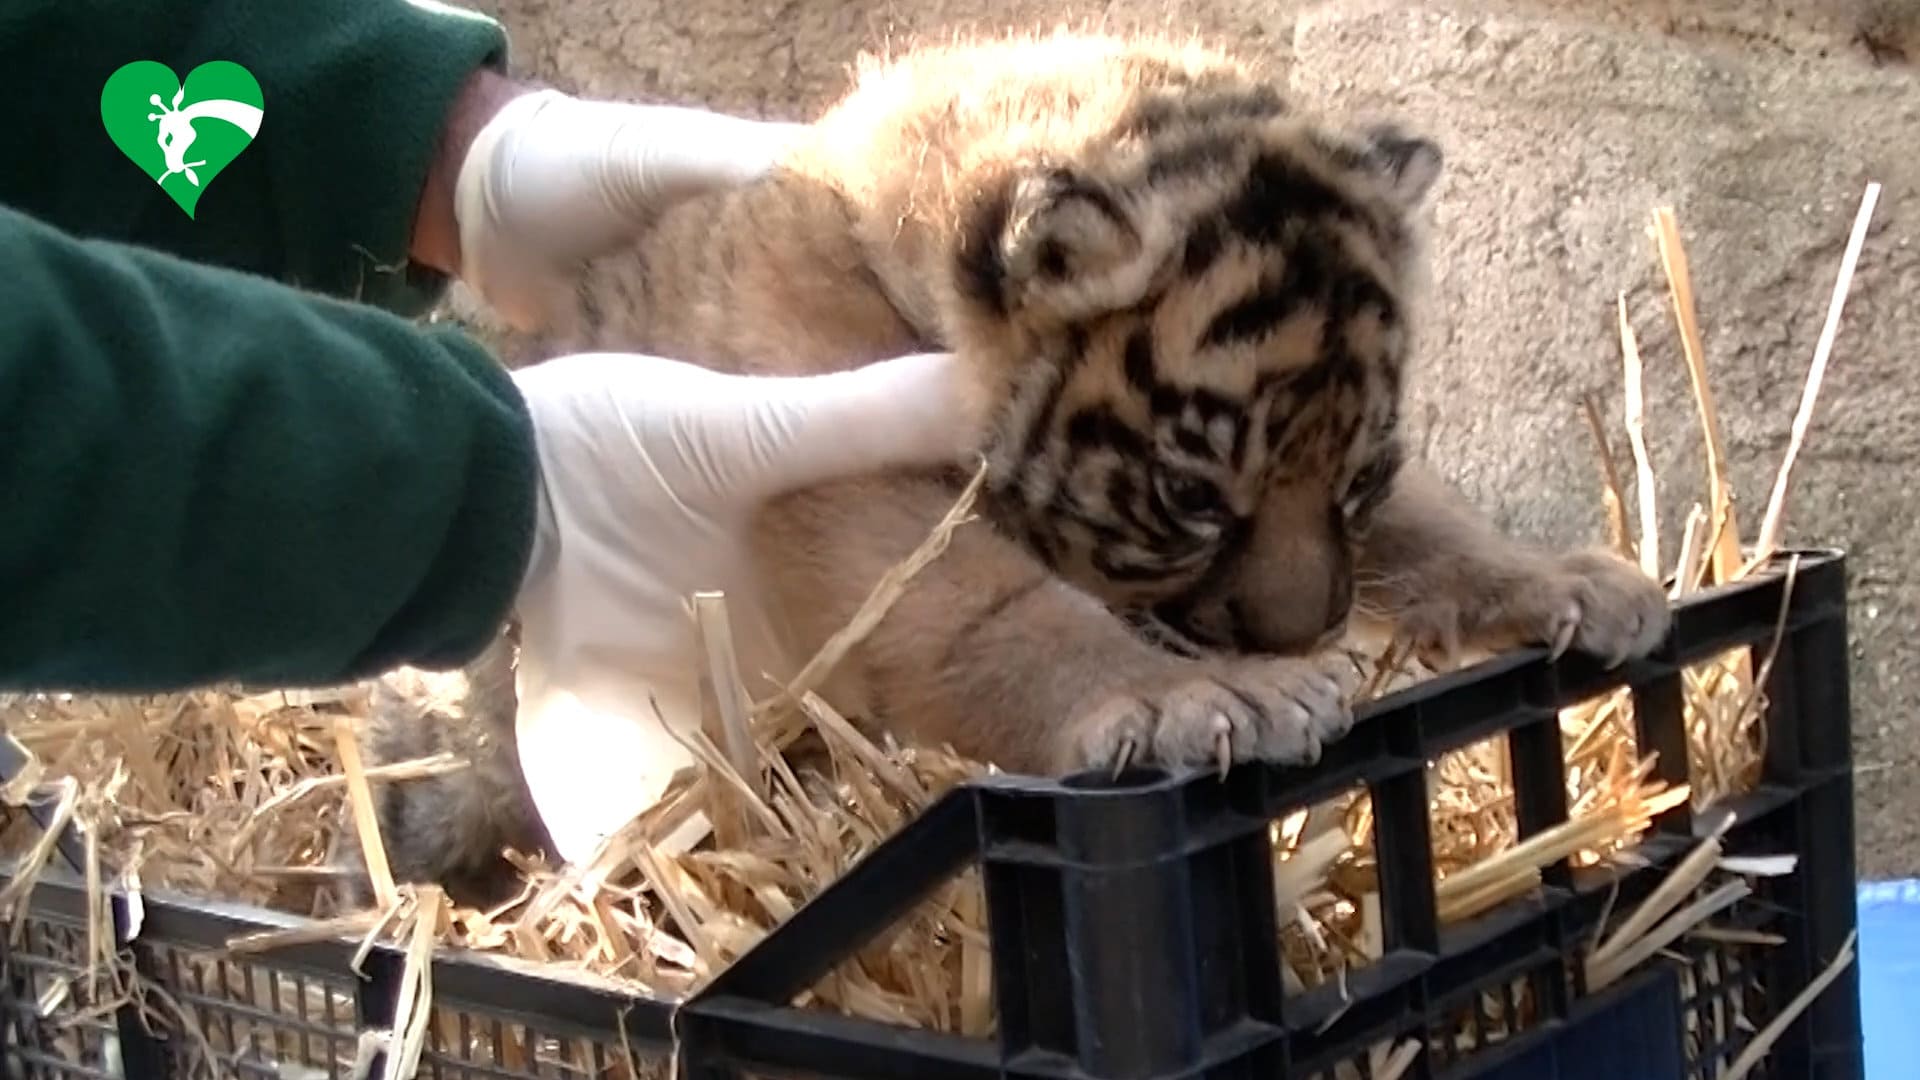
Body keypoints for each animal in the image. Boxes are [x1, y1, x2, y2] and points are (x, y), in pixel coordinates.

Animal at [331, 30, 1671, 912]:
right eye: (1190, 498)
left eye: (1357, 477)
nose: (1309, 638)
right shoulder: (855, 495)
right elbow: (996, 610)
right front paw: (1196, 701)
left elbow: (1434, 528)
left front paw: (1566, 582)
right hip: (460, 753)